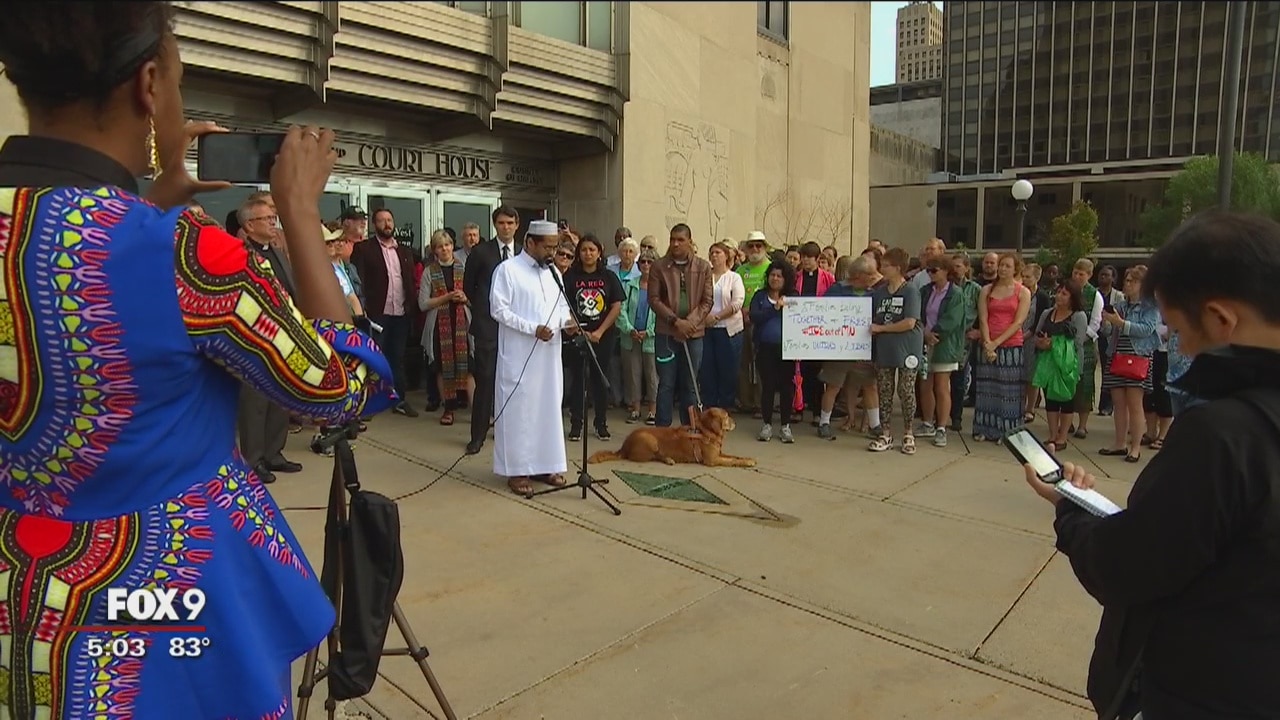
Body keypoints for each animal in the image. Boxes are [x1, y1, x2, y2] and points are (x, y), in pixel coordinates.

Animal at [588, 406, 757, 468]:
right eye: (727, 416)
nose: (736, 422)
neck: (705, 430)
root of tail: (623, 447)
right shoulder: (712, 460)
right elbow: (732, 461)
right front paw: (747, 462)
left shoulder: (719, 453)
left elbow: (734, 456)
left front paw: (748, 458)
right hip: (651, 441)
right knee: (655, 456)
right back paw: (668, 459)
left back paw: (669, 459)